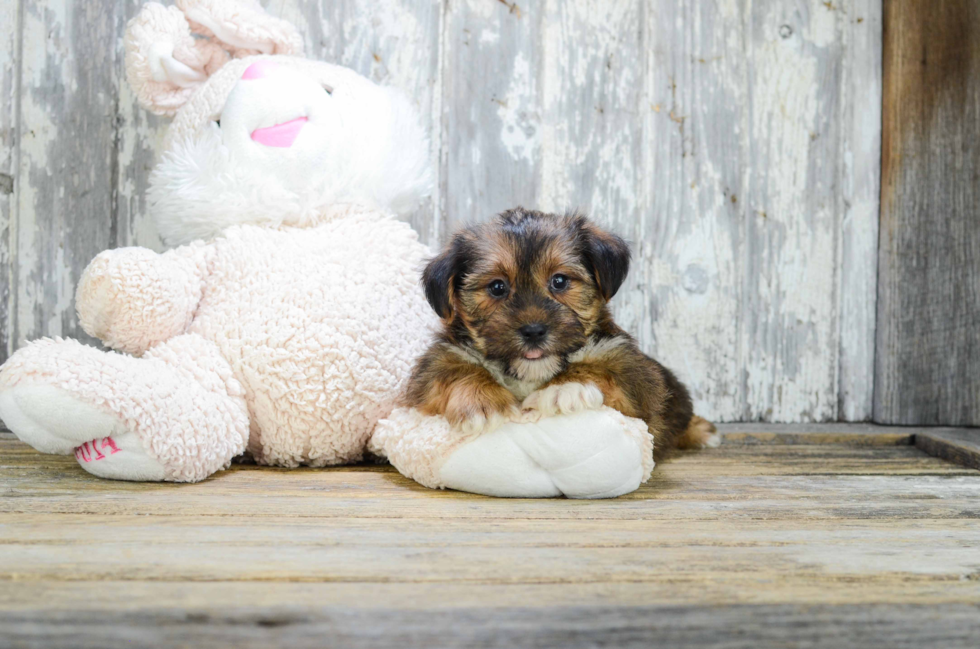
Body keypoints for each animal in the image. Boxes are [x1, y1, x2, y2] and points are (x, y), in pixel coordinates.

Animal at [402, 208, 716, 460]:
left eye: (560, 281)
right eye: (497, 287)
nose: (533, 331)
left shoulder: (636, 375)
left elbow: (601, 368)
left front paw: (564, 387)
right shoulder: (431, 370)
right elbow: (457, 370)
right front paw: (482, 401)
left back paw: (700, 430)